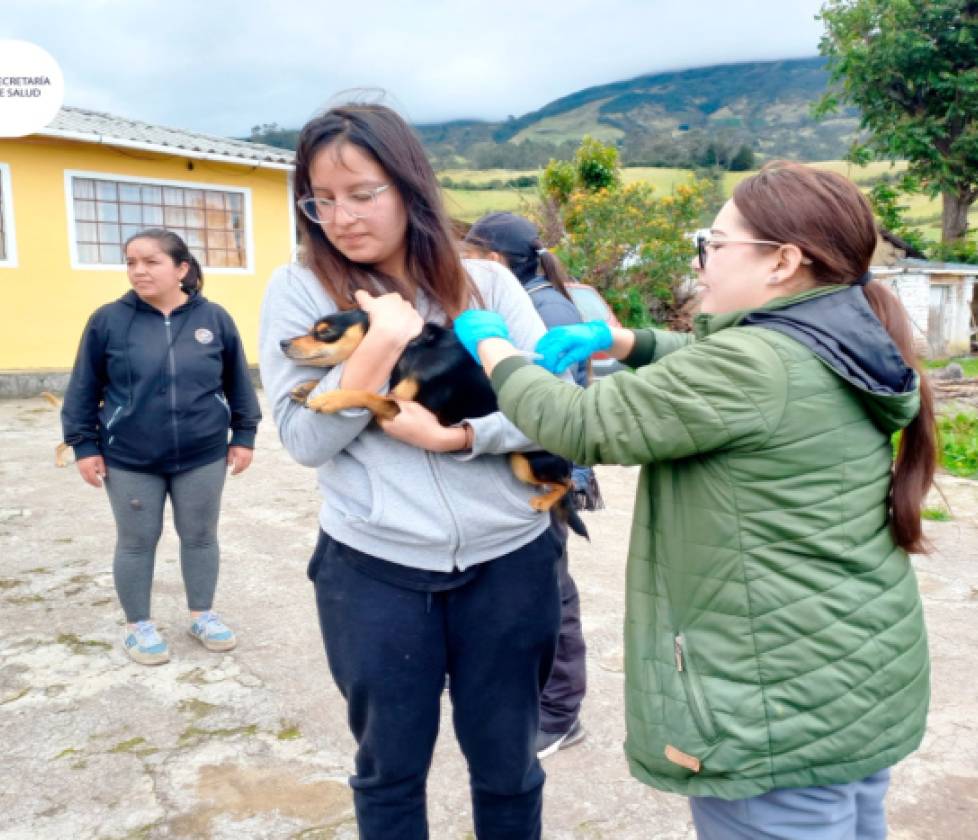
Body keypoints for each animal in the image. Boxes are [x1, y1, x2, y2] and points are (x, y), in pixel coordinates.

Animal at [280, 308, 588, 540]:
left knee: (568, 483)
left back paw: (544, 501)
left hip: (525, 463)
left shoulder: (401, 409)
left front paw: (328, 398)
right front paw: (307, 387)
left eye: (324, 332)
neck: (407, 350)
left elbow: (365, 393)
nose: (282, 343)